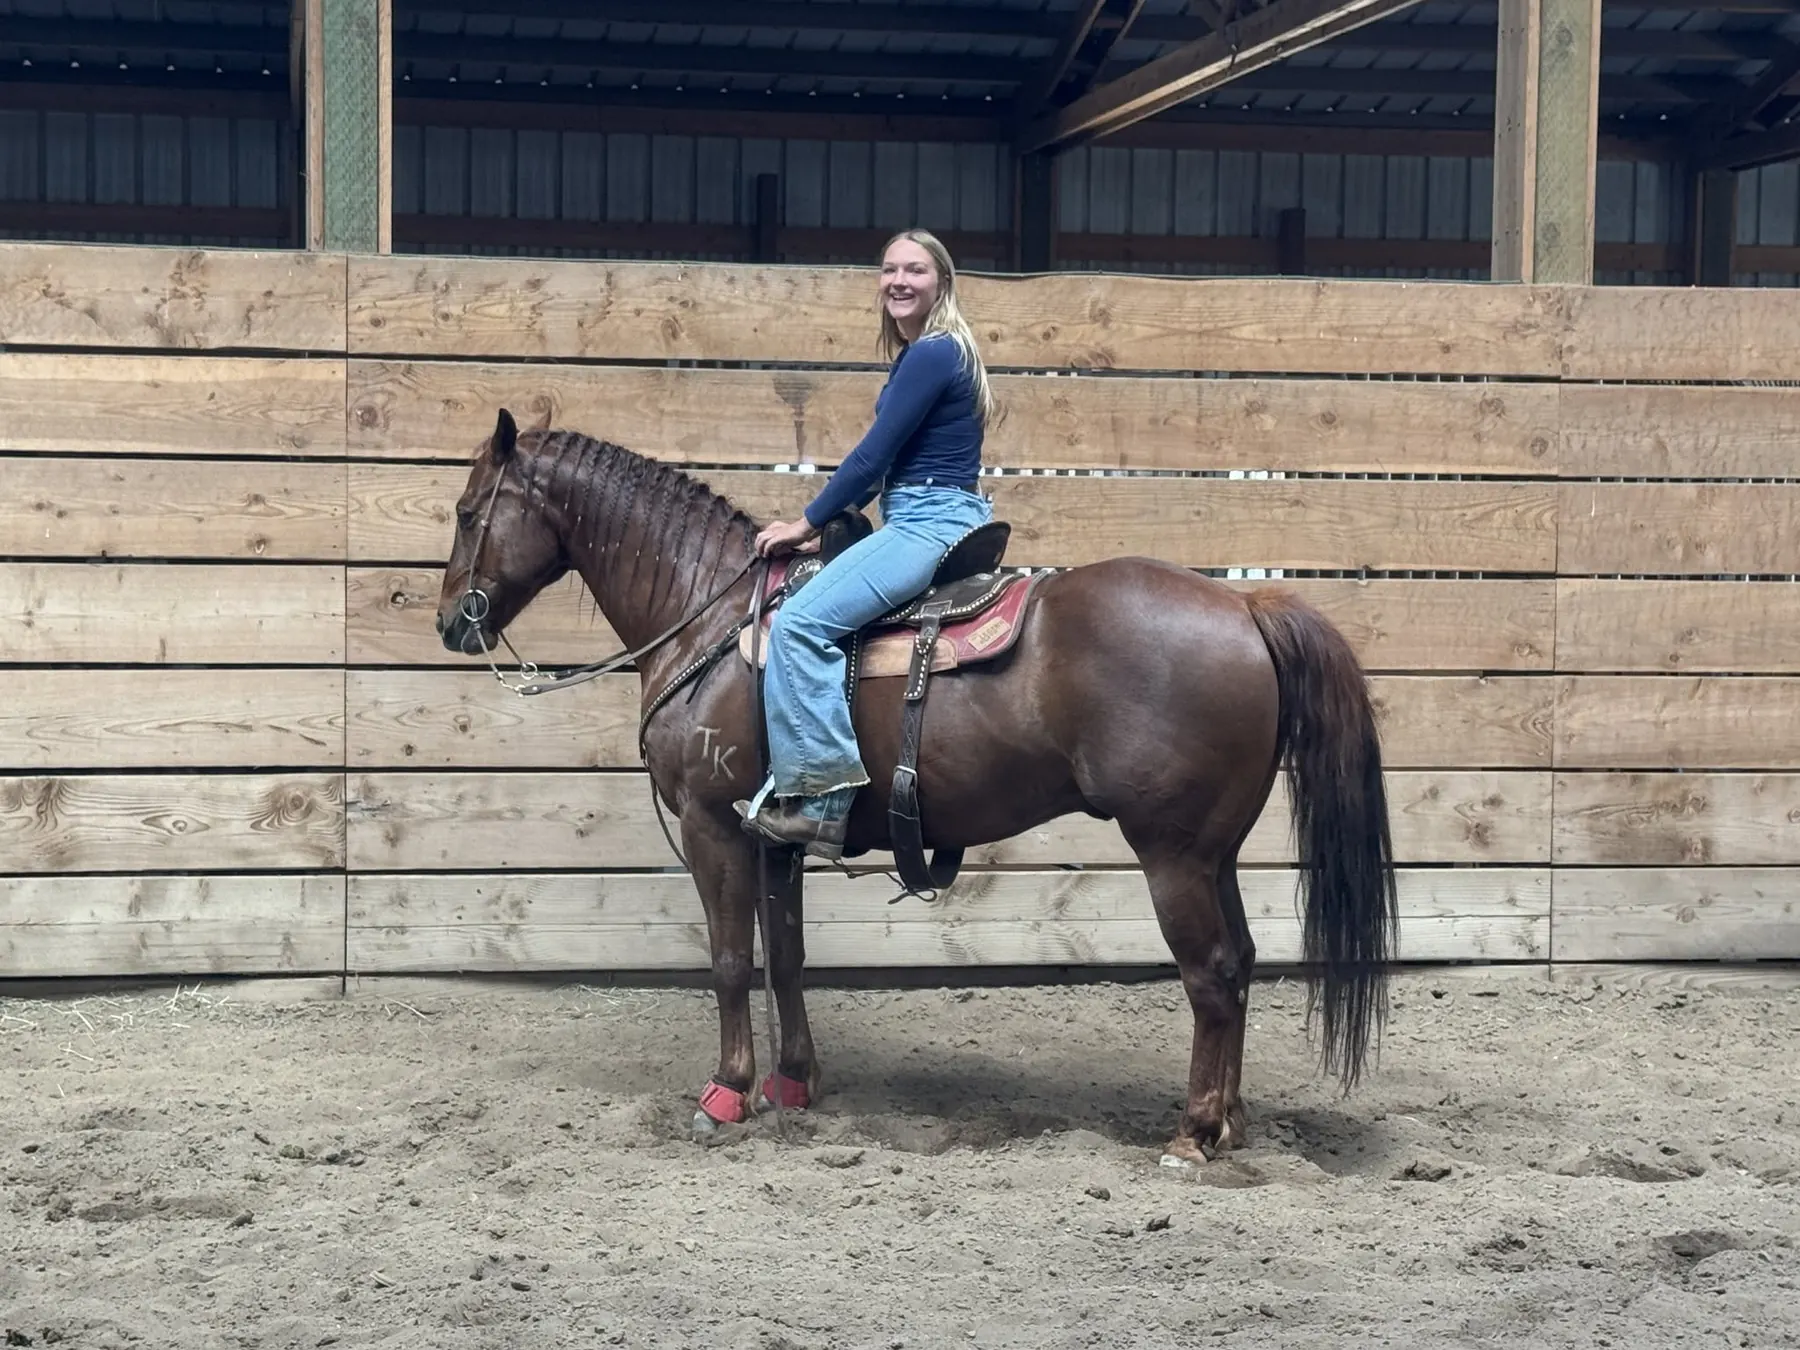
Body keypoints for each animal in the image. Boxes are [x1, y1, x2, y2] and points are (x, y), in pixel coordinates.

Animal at [434, 407, 1399, 1168]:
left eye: (468, 510)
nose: (451, 624)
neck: (710, 615)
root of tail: (1245, 608)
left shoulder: (714, 826)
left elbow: (730, 960)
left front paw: (726, 1092)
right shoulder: (773, 838)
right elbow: (787, 958)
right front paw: (794, 1084)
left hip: (1173, 855)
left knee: (1210, 973)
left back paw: (1193, 1135)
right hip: (1214, 854)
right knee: (1243, 963)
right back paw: (1230, 1123)